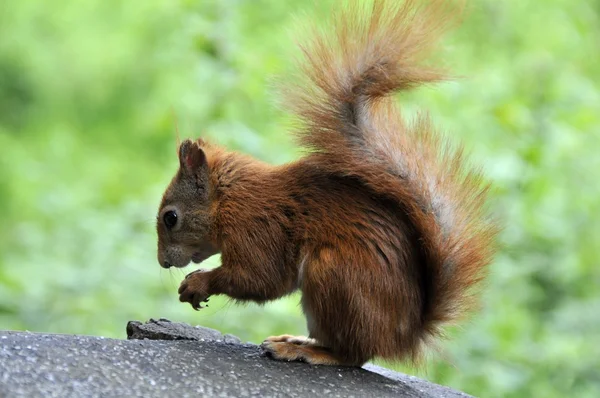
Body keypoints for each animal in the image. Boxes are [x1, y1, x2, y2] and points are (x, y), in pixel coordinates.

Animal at [155, 0, 496, 366]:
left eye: (171, 218)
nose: (162, 262)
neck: (229, 199)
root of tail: (402, 337)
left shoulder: (257, 229)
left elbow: (259, 278)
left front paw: (199, 284)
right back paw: (296, 340)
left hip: (332, 274)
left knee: (352, 355)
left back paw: (303, 350)